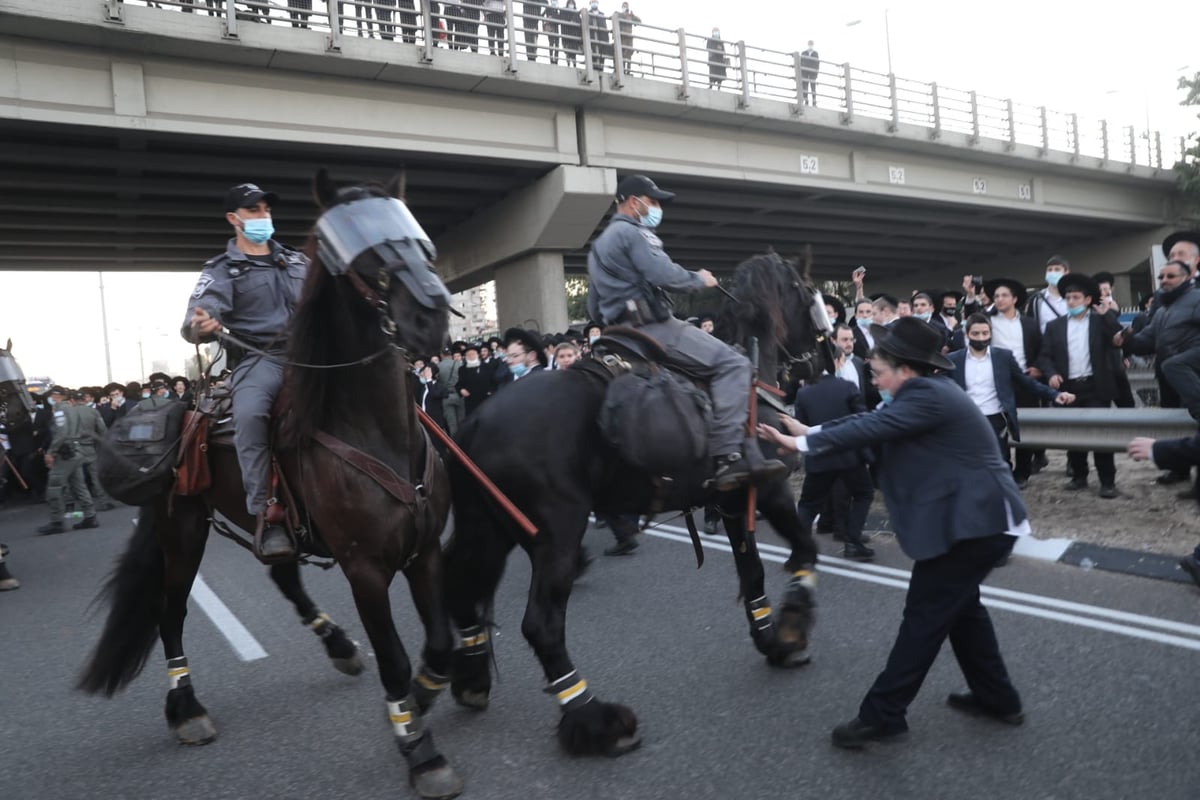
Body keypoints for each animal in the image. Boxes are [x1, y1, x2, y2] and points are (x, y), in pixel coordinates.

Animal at [76, 172, 463, 796]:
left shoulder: (425, 549)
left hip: (269, 521)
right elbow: (396, 659)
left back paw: (338, 644)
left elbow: (441, 644)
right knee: (171, 613)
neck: (373, 428)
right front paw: (420, 748)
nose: (429, 313)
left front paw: (422, 700)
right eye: (364, 250)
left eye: (413, 233)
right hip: (182, 529)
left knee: (280, 570)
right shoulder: (365, 568)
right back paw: (187, 709)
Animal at [446, 255, 830, 758]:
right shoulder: (770, 489)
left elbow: (753, 574)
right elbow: (804, 550)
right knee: (541, 624)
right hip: (555, 533)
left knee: (463, 594)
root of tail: (475, 424)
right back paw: (595, 718)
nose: (821, 358)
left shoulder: (732, 500)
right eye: (806, 292)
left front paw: (771, 639)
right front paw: (792, 627)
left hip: (488, 529)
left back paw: (470, 681)